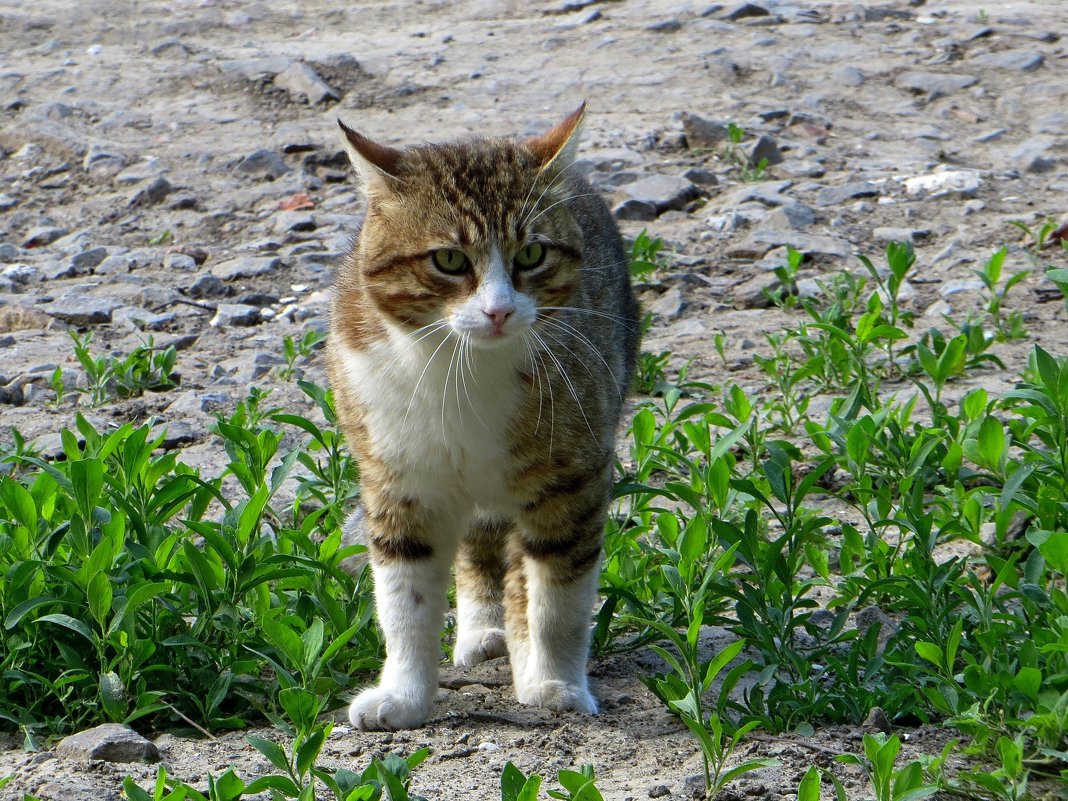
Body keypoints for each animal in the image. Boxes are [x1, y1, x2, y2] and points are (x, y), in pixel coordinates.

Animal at [324, 106, 636, 734]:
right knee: (480, 541)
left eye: (532, 255)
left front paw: (554, 682)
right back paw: (484, 628)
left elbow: (559, 594)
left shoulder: (574, 474)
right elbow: (405, 601)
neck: (461, 369)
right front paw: (404, 696)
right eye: (449, 260)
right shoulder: (400, 479)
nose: (499, 310)